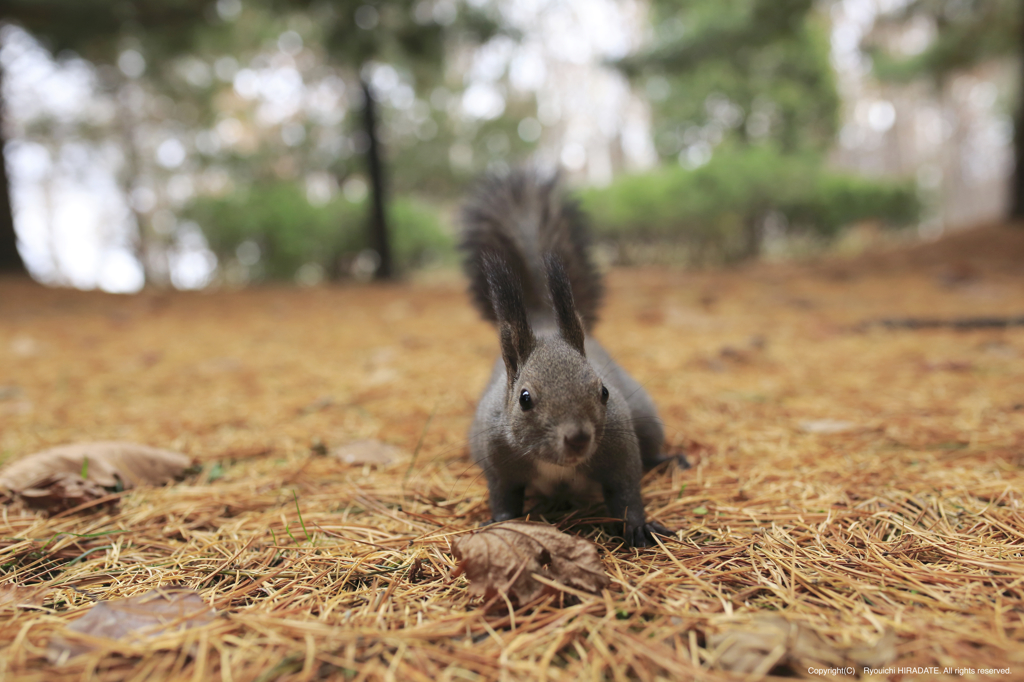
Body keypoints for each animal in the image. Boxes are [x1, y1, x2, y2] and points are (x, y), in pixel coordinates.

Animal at [460, 168, 675, 548]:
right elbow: (503, 497)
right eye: (524, 398)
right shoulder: (497, 460)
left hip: (646, 421)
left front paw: (637, 526)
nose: (577, 438)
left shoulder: (619, 450)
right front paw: (498, 523)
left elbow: (627, 491)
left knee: (650, 450)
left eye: (603, 391)